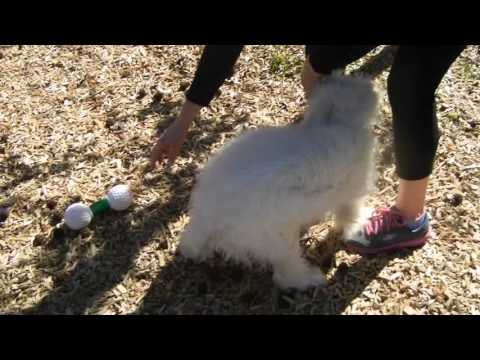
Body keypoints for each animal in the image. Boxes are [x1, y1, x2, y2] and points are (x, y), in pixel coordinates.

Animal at [178, 73, 376, 290]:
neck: (336, 123)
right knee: (285, 275)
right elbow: (349, 214)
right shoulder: (350, 191)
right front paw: (359, 224)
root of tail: (209, 217)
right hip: (281, 238)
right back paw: (311, 279)